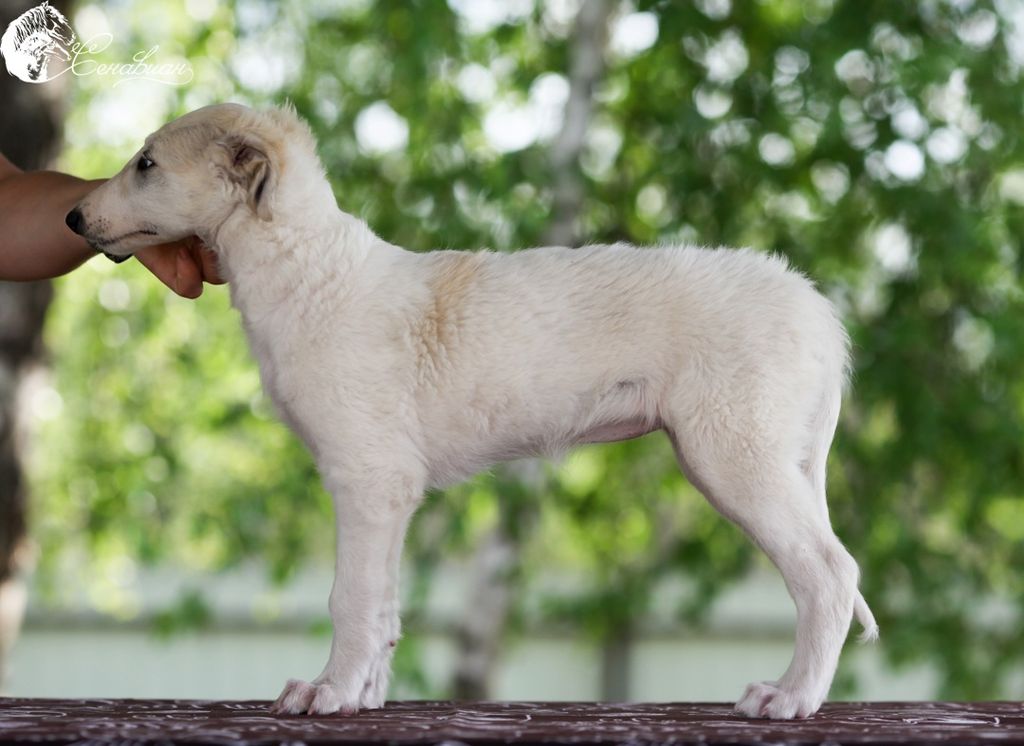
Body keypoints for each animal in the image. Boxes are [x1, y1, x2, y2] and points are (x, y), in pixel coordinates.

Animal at [68, 101, 876, 720]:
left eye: (146, 163)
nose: (73, 217)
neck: (310, 271)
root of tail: (816, 308)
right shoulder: (390, 492)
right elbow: (385, 606)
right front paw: (363, 695)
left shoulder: (365, 477)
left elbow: (350, 597)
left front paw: (327, 692)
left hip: (735, 455)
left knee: (831, 573)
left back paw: (791, 697)